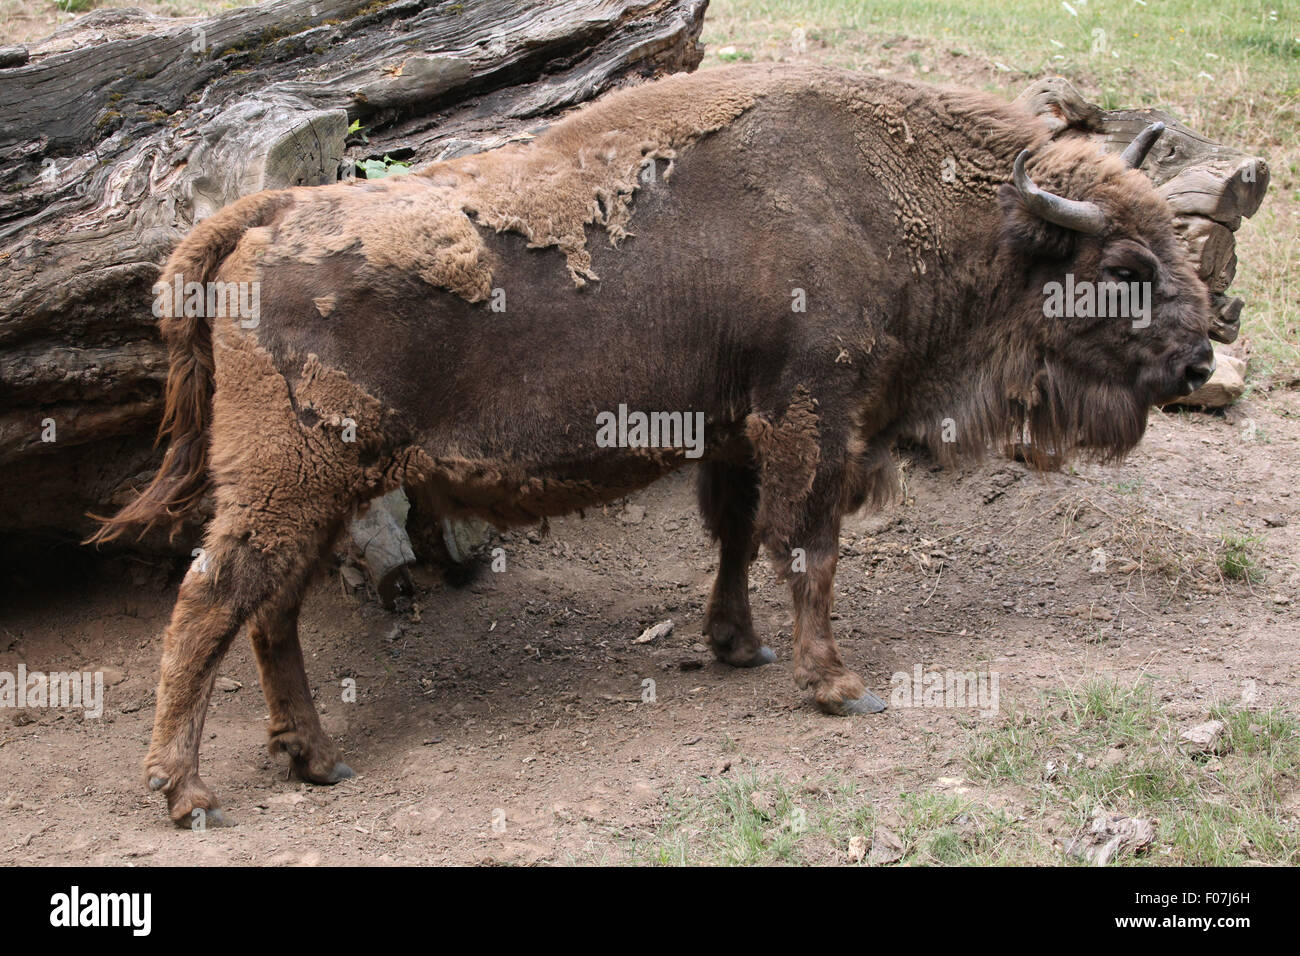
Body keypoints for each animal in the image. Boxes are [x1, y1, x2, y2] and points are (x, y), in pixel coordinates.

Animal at [89, 63, 1206, 827]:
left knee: (269, 614)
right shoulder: (814, 421)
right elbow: (808, 548)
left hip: (321, 490)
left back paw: (315, 758)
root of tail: (263, 211)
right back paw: (186, 792)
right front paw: (838, 685)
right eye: (1125, 264)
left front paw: (739, 646)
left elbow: (736, 538)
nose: (1200, 358)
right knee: (212, 601)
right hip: (292, 483)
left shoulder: (734, 432)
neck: (888, 194)